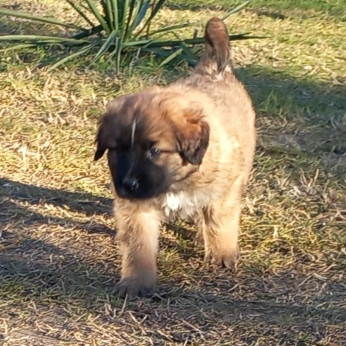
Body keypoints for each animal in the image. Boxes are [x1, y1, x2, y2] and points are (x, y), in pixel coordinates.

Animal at [94, 17, 256, 298]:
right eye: (118, 150)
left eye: (155, 151)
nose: (127, 184)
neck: (177, 181)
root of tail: (214, 70)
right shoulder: (137, 208)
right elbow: (138, 245)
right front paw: (135, 282)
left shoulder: (226, 188)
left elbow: (220, 220)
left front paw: (221, 254)